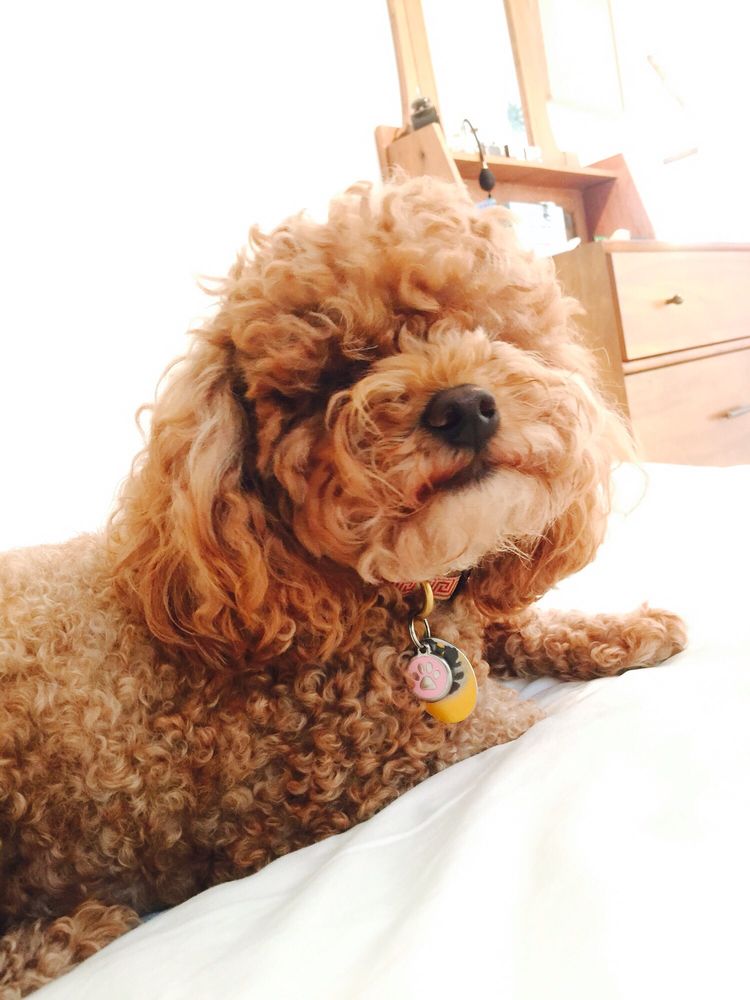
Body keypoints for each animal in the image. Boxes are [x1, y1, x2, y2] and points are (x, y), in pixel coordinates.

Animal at [0, 175, 686, 996]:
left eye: (482, 327)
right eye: (337, 371)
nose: (464, 405)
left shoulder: (468, 622)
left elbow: (517, 624)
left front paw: (632, 629)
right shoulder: (367, 772)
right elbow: (525, 725)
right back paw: (74, 934)